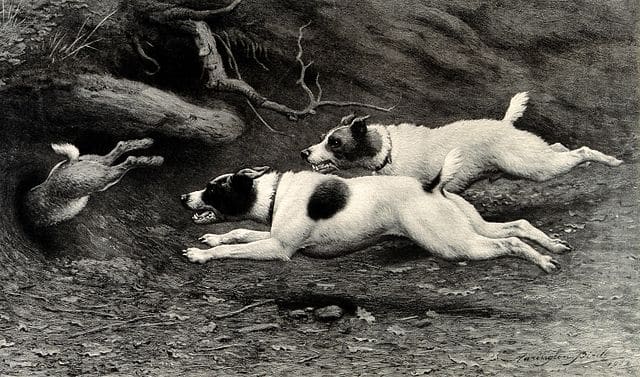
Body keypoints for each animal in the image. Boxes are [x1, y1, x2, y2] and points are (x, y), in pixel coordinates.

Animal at [24, 138, 165, 226]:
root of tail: (70, 163)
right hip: (96, 167)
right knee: (118, 150)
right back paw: (148, 143)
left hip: (101, 178)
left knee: (129, 161)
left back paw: (156, 160)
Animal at [180, 151, 568, 274]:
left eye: (213, 190)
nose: (184, 196)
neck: (275, 193)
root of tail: (433, 186)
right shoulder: (273, 236)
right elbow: (237, 233)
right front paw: (212, 238)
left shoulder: (278, 248)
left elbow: (235, 248)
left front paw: (201, 254)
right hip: (469, 227)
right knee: (517, 226)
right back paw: (553, 249)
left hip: (454, 244)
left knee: (508, 244)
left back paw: (543, 262)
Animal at [302, 91, 624, 191]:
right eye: (322, 139)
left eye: (335, 142)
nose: (304, 153)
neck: (389, 150)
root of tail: (504, 124)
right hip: (535, 157)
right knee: (560, 148)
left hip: (533, 166)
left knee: (580, 151)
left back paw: (612, 161)